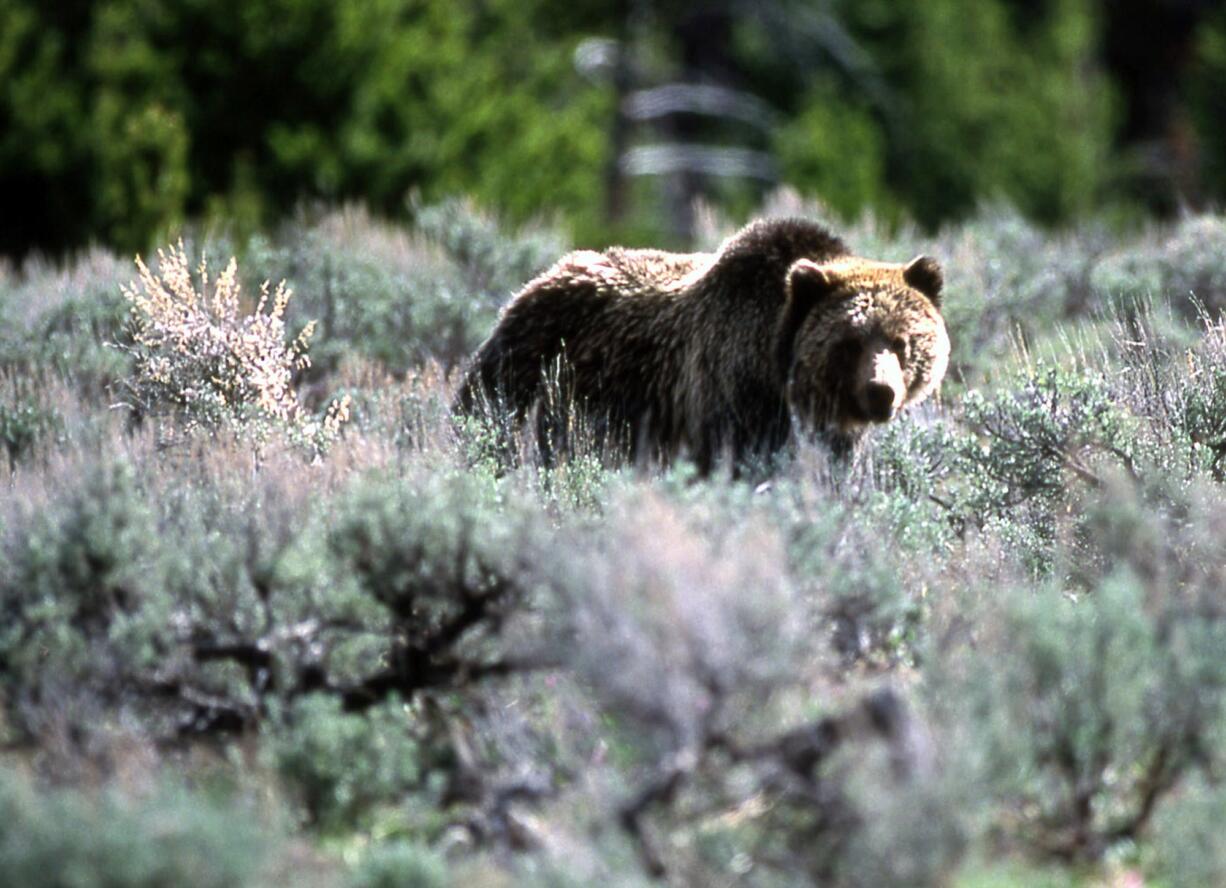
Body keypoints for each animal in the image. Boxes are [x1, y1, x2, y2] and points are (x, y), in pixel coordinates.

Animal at [451, 217, 946, 470]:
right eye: (849, 341)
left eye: (902, 342)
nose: (880, 392)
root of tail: (544, 274)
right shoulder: (730, 394)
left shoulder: (830, 432)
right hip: (536, 359)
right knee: (491, 407)